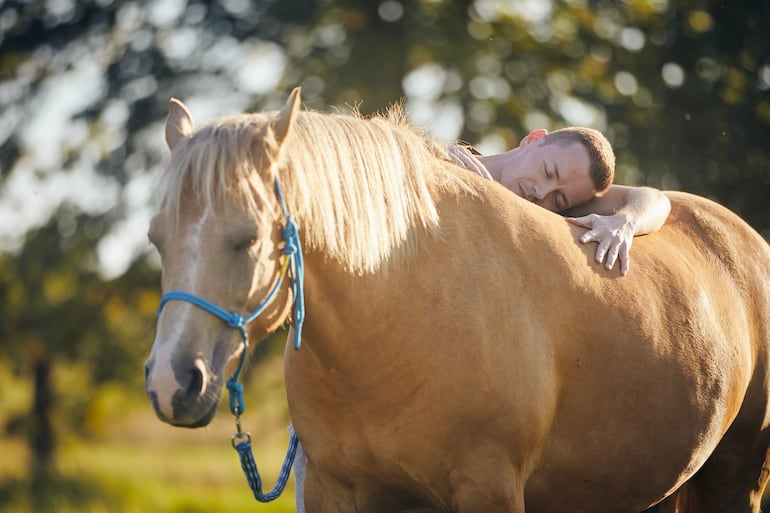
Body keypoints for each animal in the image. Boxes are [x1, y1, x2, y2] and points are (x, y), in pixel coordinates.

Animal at [142, 88, 768, 512]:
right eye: (155, 237)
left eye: (247, 238)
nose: (173, 384)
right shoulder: (330, 489)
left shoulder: (488, 488)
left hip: (737, 478)